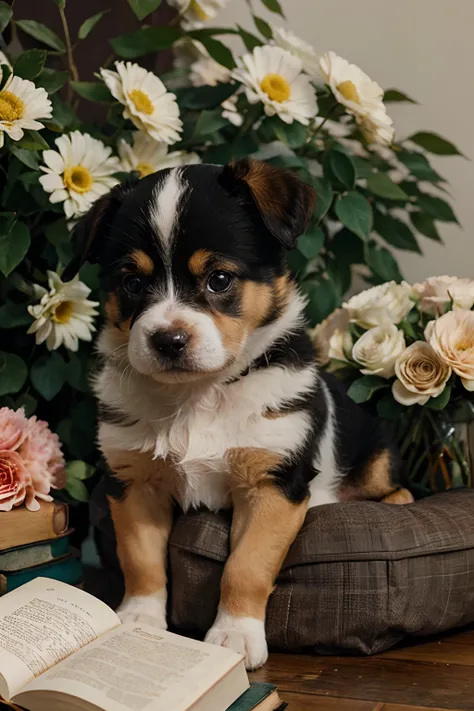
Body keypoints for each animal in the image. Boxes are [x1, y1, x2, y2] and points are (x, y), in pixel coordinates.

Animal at [65, 159, 412, 672]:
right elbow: (141, 559)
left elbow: (245, 566)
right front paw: (139, 619)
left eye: (219, 279)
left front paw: (235, 635)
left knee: (396, 488)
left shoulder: (273, 483)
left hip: (377, 455)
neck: (199, 395)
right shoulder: (134, 482)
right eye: (132, 283)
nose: (168, 341)